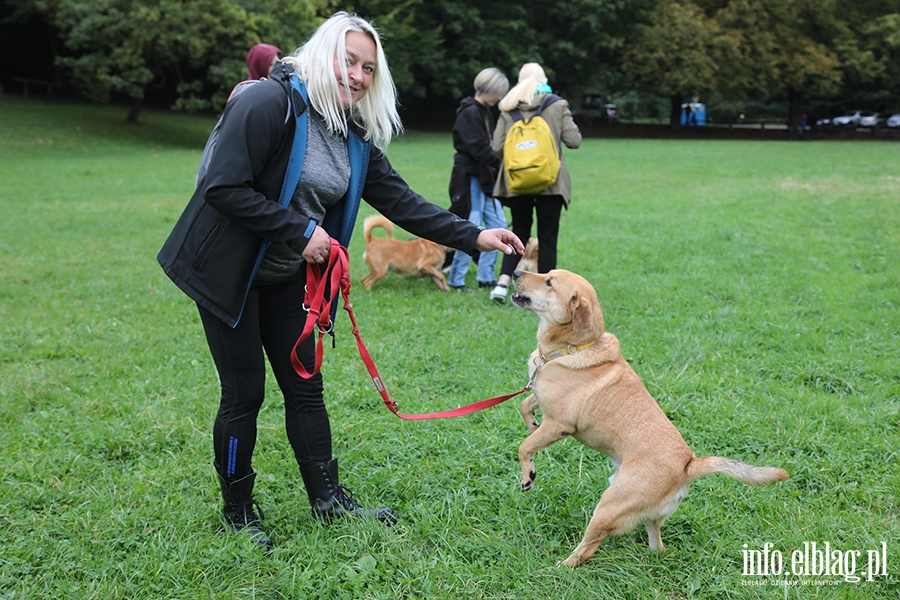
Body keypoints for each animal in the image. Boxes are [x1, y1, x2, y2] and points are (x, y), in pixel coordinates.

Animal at [510, 270, 792, 568]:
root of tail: (689, 465)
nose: (516, 272)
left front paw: (528, 476)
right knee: (657, 545)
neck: (574, 346)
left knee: (586, 550)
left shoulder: (559, 425)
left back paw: (559, 567)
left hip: (608, 507)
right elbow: (525, 405)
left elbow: (524, 447)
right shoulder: (541, 400)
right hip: (640, 511)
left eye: (549, 282)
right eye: (547, 274)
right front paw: (531, 424)